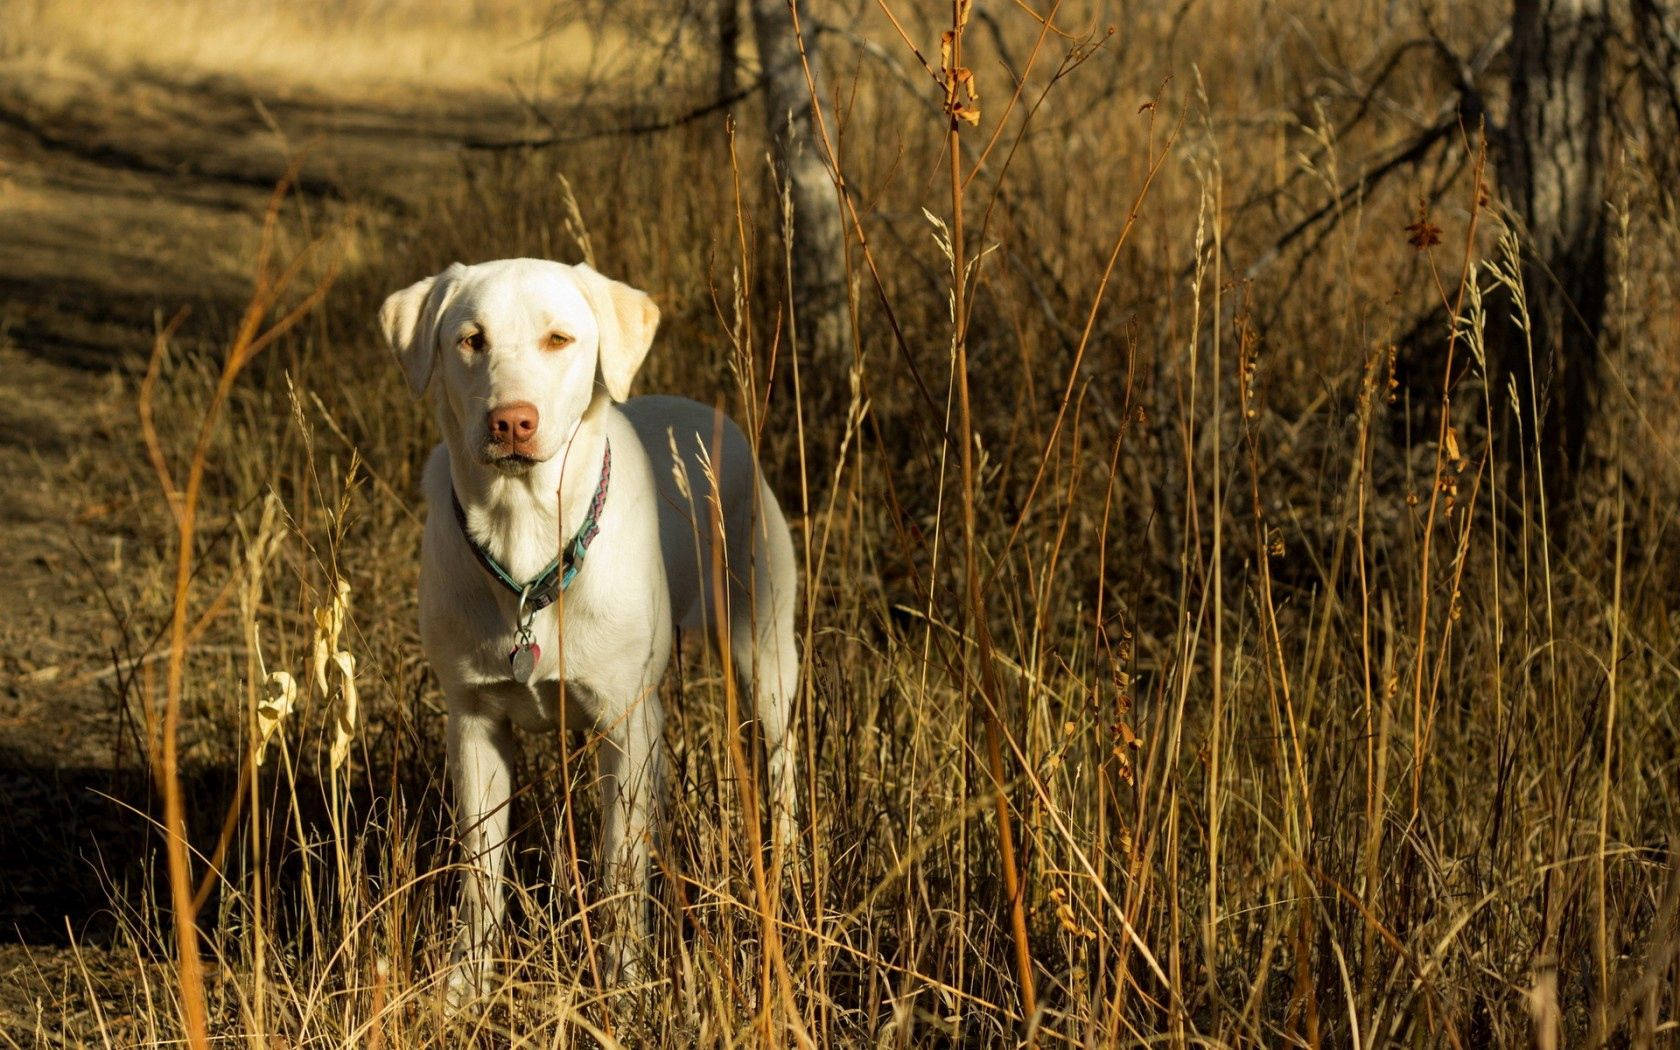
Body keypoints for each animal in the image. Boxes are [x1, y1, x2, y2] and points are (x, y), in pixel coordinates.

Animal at [381, 258, 799, 994]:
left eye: (559, 339)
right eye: (470, 339)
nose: (511, 421)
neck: (524, 545)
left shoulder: (629, 725)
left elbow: (621, 875)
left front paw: (624, 985)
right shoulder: (474, 721)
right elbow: (479, 872)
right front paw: (465, 987)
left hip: (765, 645)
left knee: (781, 763)